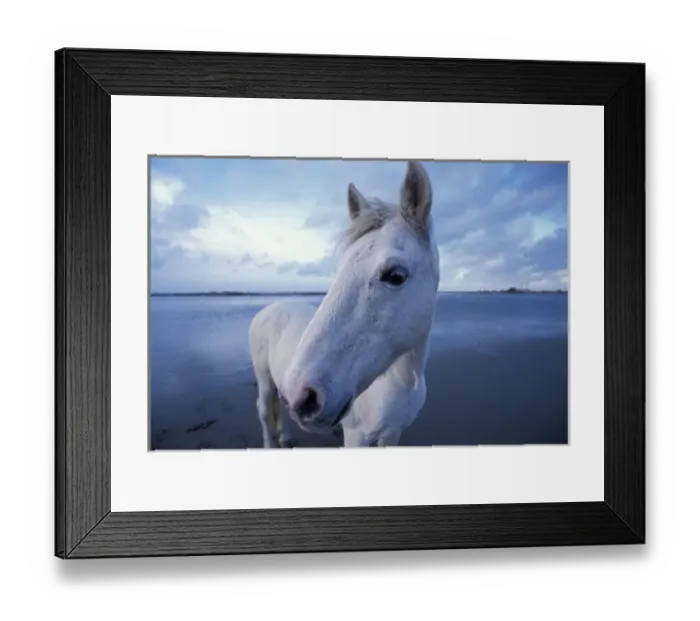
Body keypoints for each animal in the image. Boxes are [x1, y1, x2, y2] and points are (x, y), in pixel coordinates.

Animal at [248, 160, 440, 448]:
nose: (302, 395)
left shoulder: (392, 434)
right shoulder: (356, 436)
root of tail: (268, 309)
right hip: (264, 378)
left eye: (396, 276)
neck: (402, 381)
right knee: (263, 411)